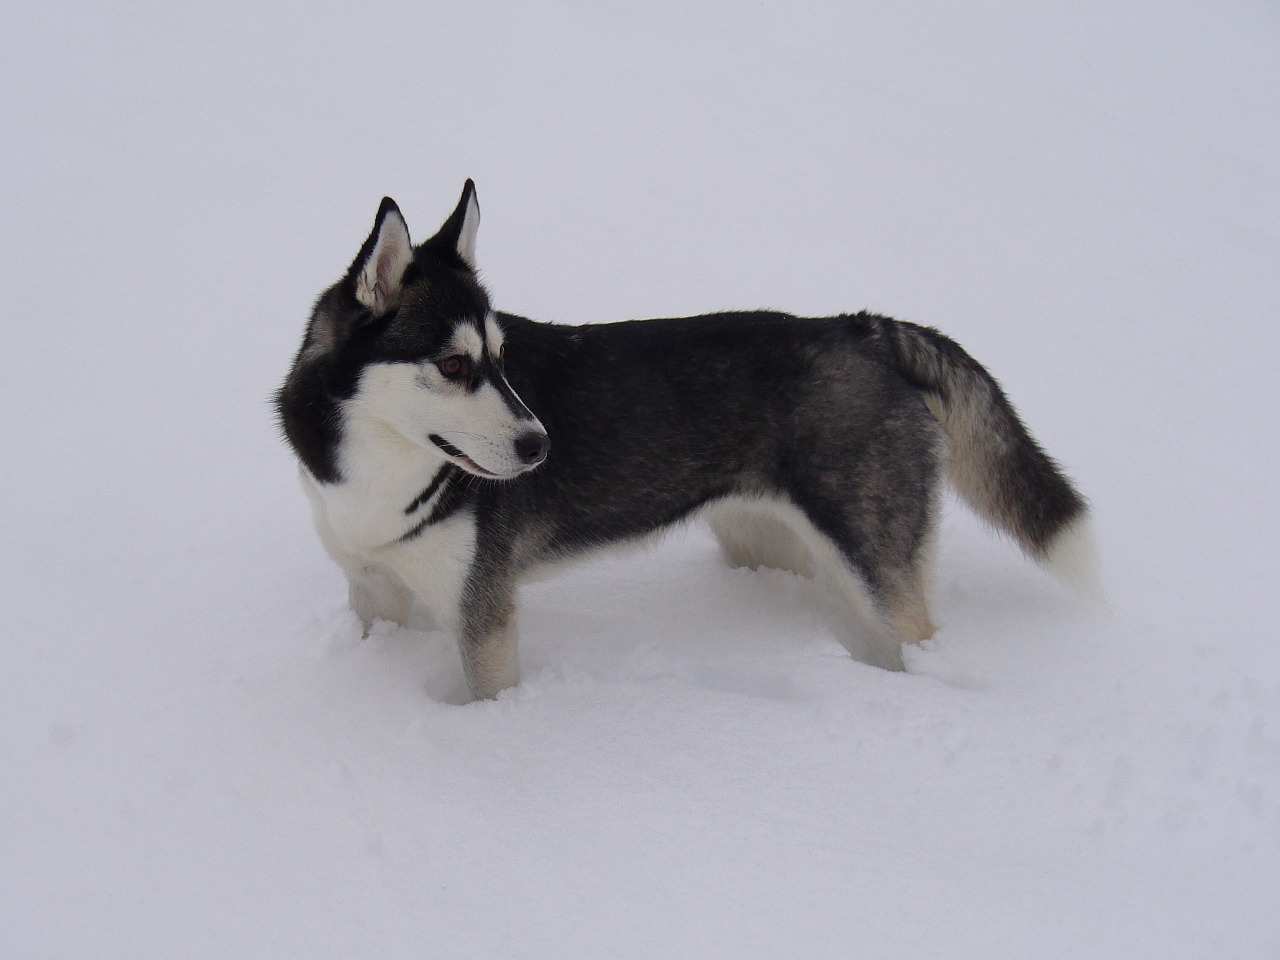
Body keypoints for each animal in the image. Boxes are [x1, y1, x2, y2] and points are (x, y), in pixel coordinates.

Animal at [277, 181, 1090, 701]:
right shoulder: (373, 591)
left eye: (502, 359)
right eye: (453, 365)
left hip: (873, 560)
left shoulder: (484, 617)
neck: (382, 471)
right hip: (763, 536)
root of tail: (858, 327)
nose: (542, 446)